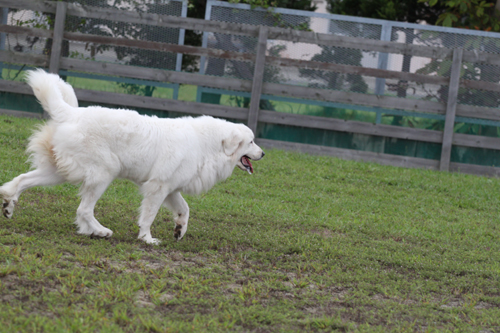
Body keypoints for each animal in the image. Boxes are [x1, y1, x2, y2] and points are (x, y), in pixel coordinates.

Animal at [0, 69, 264, 244]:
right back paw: (100, 231)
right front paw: (147, 239)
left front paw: (180, 230)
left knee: (22, 180)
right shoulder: (158, 187)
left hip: (57, 172)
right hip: (104, 173)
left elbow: (185, 209)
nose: (262, 153)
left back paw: (9, 205)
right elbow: (149, 216)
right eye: (251, 141)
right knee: (83, 210)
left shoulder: (171, 189)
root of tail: (72, 113)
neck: (208, 145)